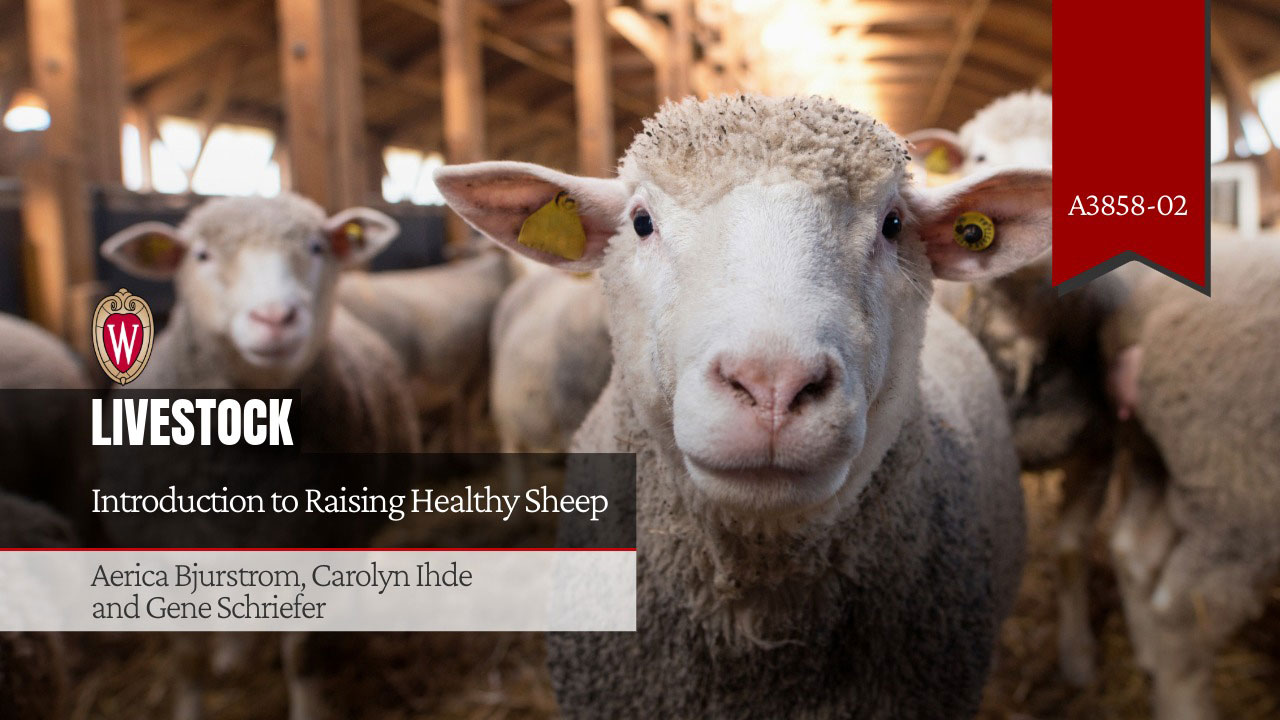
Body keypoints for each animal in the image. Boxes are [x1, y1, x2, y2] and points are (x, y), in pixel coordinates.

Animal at [101, 193, 421, 720]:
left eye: (316, 247)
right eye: (201, 255)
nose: (274, 318)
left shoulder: (316, 545)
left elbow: (302, 654)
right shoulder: (166, 554)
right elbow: (188, 661)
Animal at [1103, 236, 1280, 720]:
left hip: (1155, 454)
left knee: (1132, 549)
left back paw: (1147, 658)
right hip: (1239, 497)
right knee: (1183, 612)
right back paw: (1186, 706)